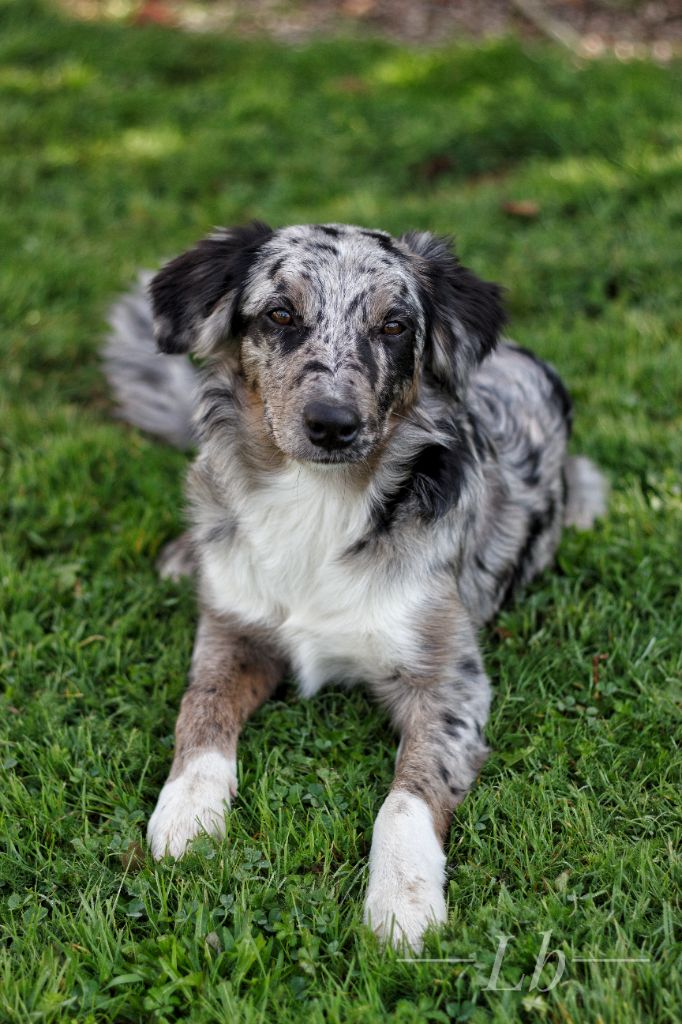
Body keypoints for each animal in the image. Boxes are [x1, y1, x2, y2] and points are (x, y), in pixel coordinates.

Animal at [102, 222, 606, 950]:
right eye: (280, 315)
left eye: (394, 325)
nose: (333, 424)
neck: (318, 504)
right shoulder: (233, 630)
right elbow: (199, 711)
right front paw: (187, 812)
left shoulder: (449, 682)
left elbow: (406, 798)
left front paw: (402, 900)